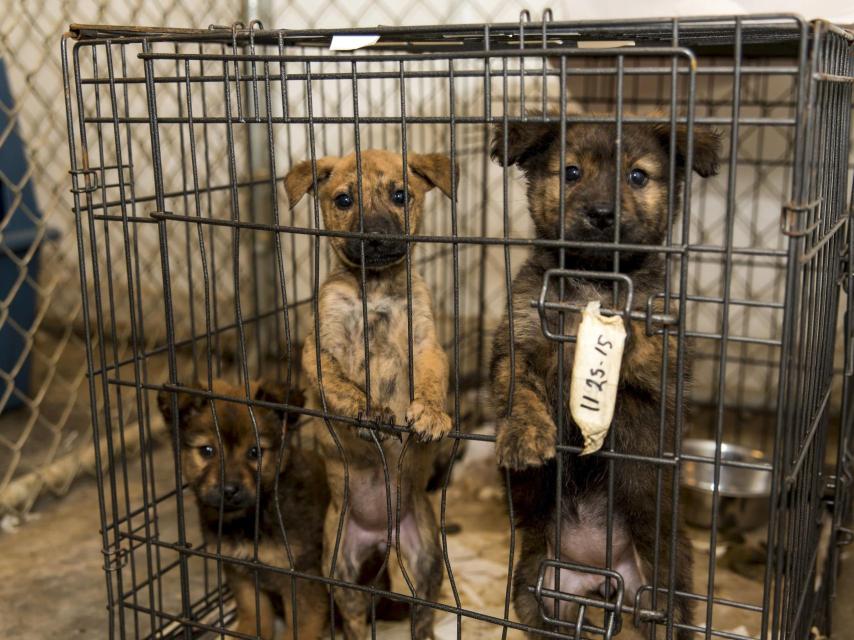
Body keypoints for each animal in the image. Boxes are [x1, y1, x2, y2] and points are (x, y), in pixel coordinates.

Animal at [157, 380, 332, 640]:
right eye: (206, 451)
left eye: (255, 452)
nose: (229, 490)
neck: (250, 519)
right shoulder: (240, 572)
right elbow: (251, 609)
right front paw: (248, 631)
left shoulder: (301, 575)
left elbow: (301, 623)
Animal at [288, 150, 458, 640]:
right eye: (343, 200)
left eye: (401, 195)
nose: (376, 237)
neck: (376, 287)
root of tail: (382, 539)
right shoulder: (320, 349)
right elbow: (343, 386)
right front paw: (369, 412)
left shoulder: (425, 342)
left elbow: (431, 379)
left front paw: (430, 415)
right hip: (342, 566)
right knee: (355, 618)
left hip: (425, 558)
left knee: (422, 614)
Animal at [488, 114, 724, 636]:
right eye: (571, 172)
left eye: (638, 176)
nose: (600, 214)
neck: (595, 282)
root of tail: (601, 576)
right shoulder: (516, 342)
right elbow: (520, 388)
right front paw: (525, 435)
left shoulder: (659, 383)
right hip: (538, 589)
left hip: (662, 595)